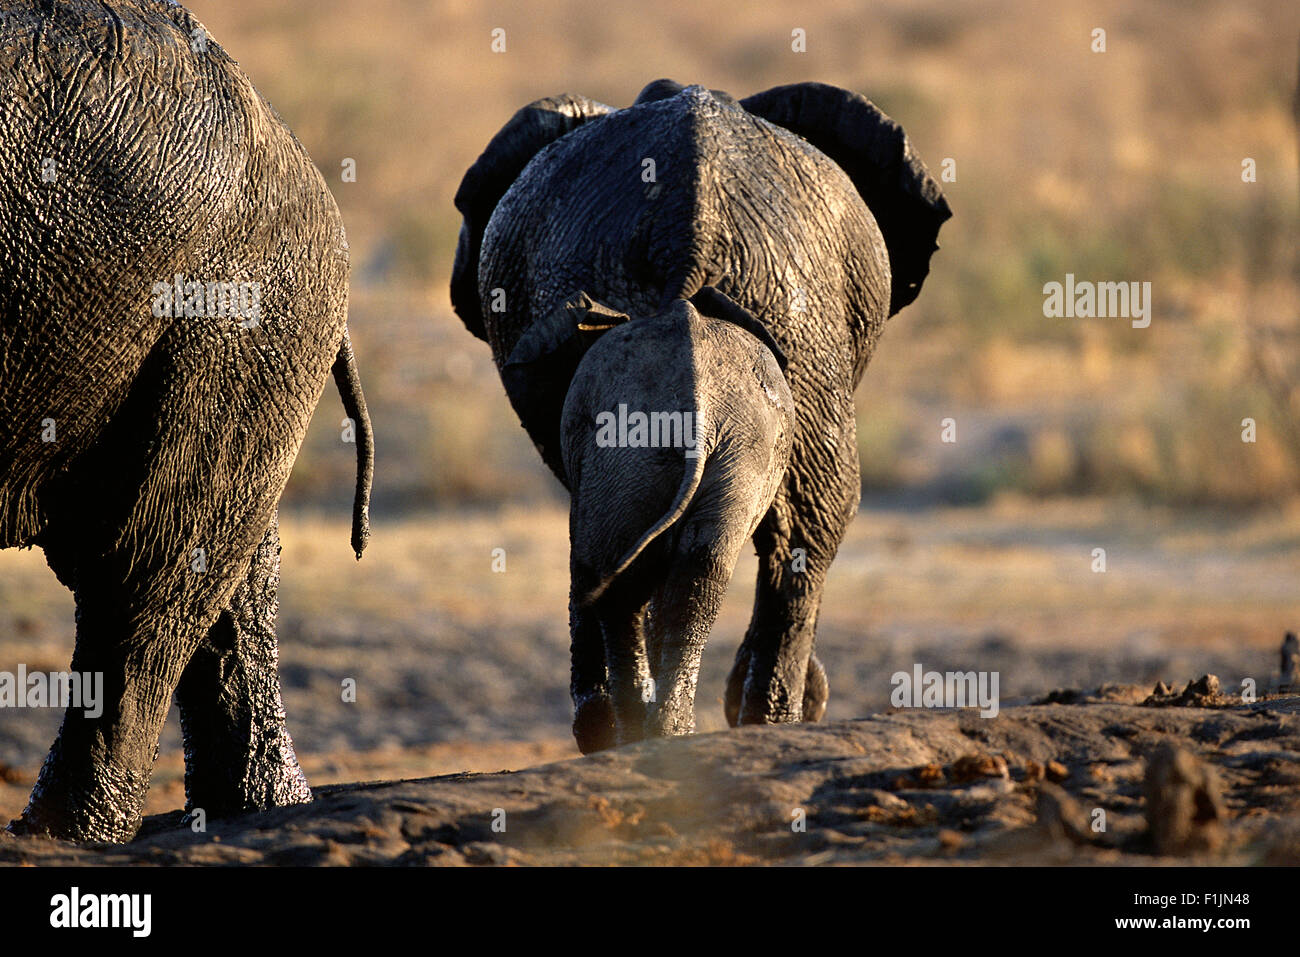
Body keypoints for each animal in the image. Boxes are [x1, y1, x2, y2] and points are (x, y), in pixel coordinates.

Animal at [551, 287, 785, 748]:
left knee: (610, 573)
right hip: (741, 450)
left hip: (624, 450)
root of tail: (701, 414)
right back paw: (668, 730)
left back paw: (634, 731)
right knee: (702, 567)